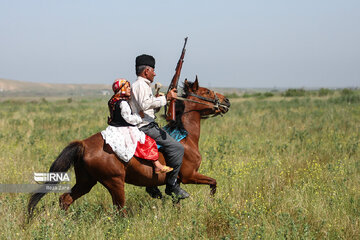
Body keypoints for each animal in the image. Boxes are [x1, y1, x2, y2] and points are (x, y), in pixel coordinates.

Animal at [28, 79, 231, 216]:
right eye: (206, 91)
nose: (226, 101)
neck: (185, 137)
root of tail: (84, 144)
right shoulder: (189, 176)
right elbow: (213, 183)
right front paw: (212, 203)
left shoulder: (176, 183)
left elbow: (177, 200)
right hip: (115, 182)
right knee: (120, 210)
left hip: (87, 181)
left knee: (65, 199)